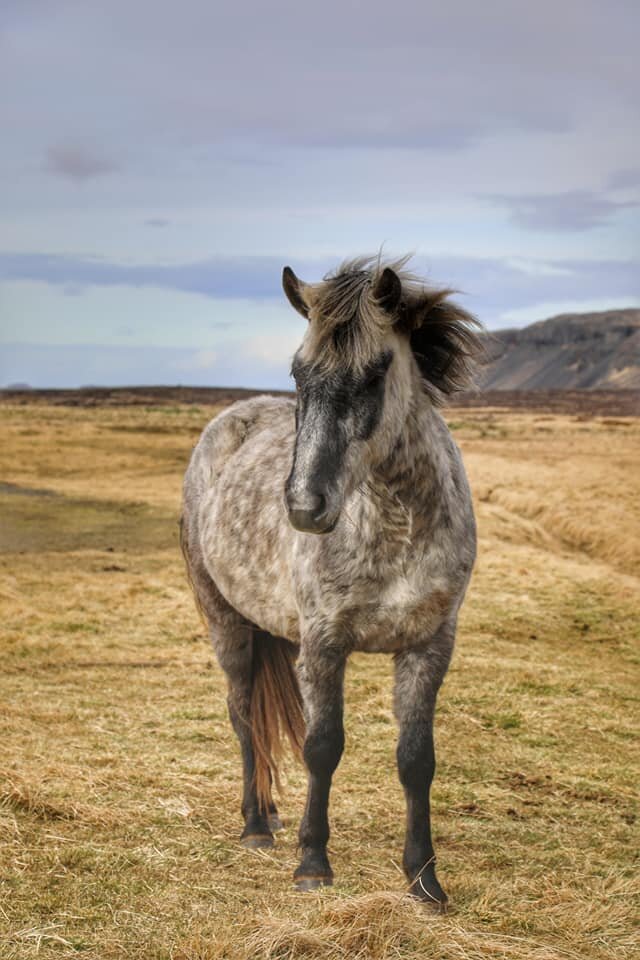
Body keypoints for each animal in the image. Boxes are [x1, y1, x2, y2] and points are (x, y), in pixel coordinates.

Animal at [181, 255, 481, 910]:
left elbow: (416, 760)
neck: (395, 527)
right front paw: (313, 863)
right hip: (225, 622)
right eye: (299, 372)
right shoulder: (323, 644)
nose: (303, 507)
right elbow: (322, 748)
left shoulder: (430, 646)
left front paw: (425, 880)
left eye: (377, 372)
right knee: (243, 715)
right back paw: (257, 824)